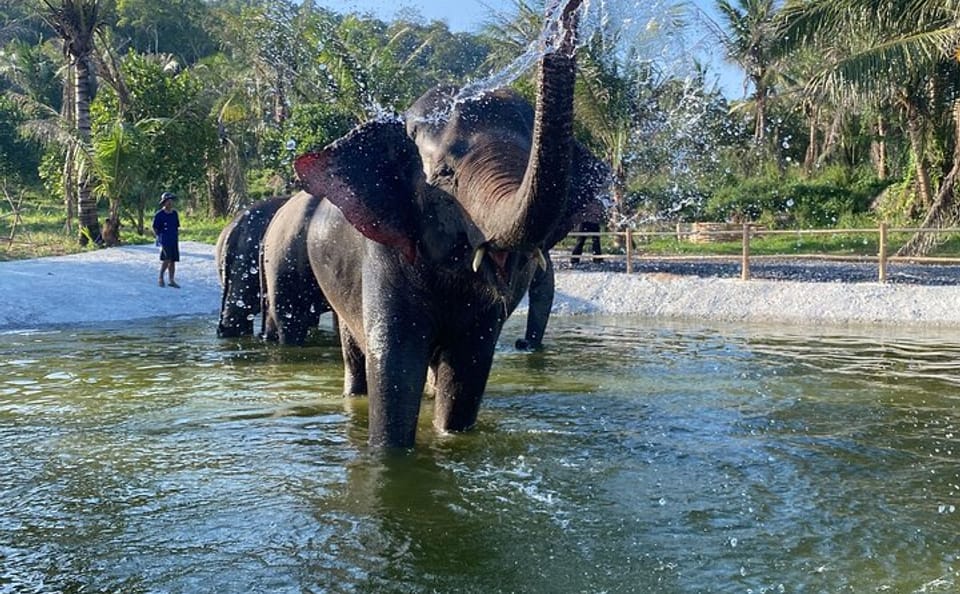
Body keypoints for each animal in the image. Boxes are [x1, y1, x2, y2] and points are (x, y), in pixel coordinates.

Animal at [293, 0, 588, 447]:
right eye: (446, 174)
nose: (563, 12)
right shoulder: (384, 251)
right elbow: (394, 366)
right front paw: (389, 452)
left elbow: (466, 371)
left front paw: (450, 438)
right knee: (353, 353)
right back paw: (354, 396)